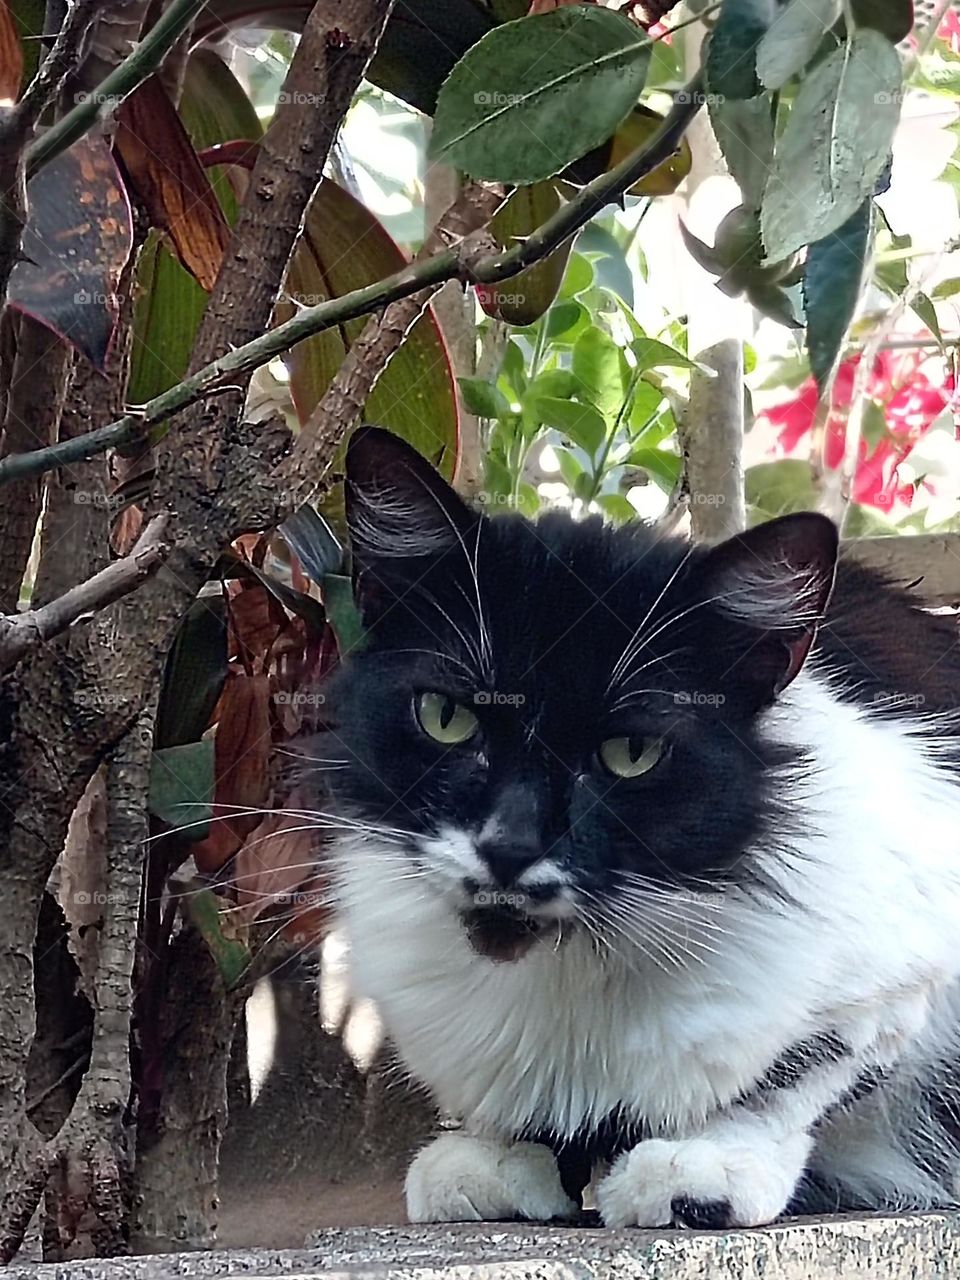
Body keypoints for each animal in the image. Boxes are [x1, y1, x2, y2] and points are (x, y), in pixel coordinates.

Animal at [320, 427, 960, 1228]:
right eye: (446, 717)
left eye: (632, 753)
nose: (509, 846)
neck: (567, 964)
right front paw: (501, 1159)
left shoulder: (905, 958)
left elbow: (803, 1070)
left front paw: (702, 1164)